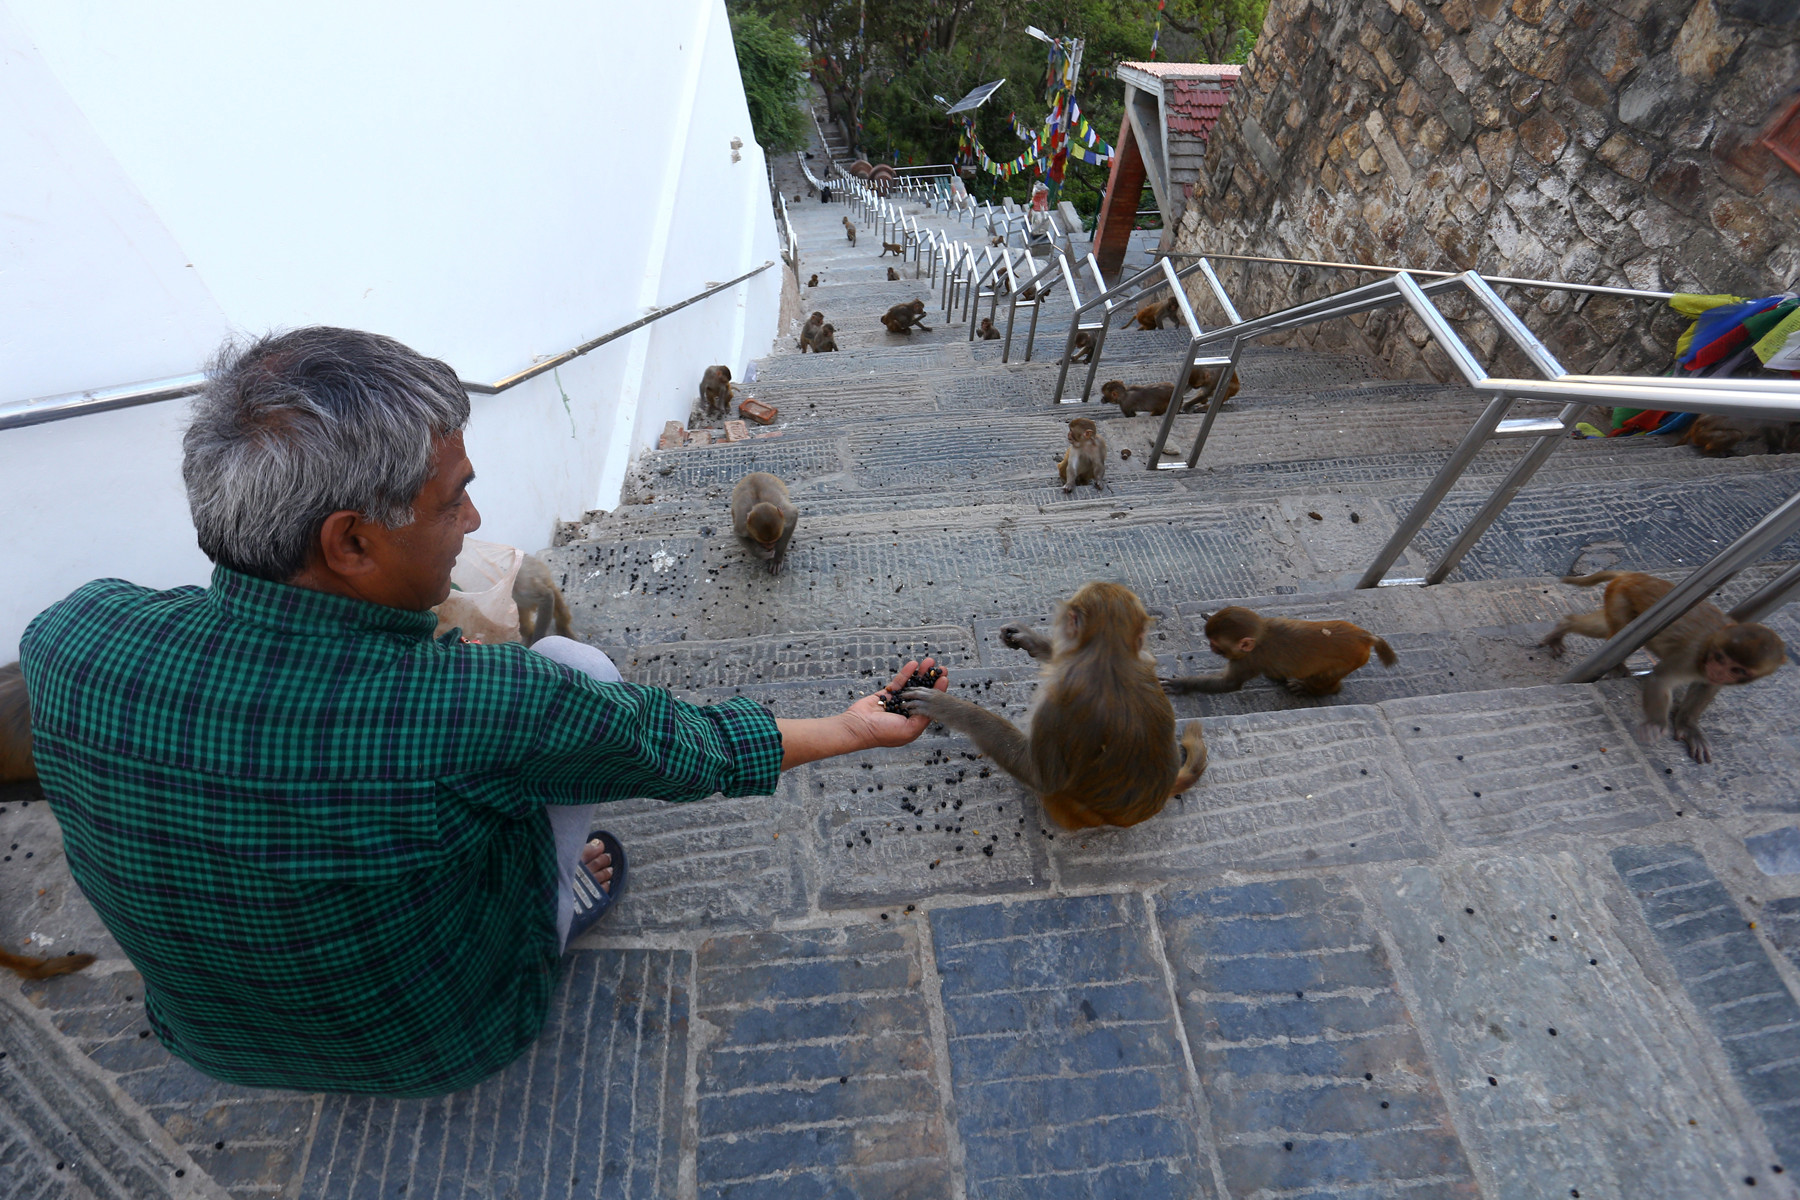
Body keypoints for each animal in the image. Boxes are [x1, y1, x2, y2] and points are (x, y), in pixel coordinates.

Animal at [900, 582, 1209, 831]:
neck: (1110, 655)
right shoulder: (1144, 661)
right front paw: (1029, 638)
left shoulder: (1057, 706)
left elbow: (1043, 777)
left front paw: (949, 707)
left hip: (1074, 811)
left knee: (1054, 791)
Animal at [1166, 604, 1404, 698]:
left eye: (1216, 645)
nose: (1210, 648)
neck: (1262, 635)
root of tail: (1364, 636)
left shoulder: (1248, 660)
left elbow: (1230, 684)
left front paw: (1183, 684)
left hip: (1351, 660)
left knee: (1326, 677)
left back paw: (1319, 690)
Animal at [1533, 572, 1785, 759]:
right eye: (1720, 658)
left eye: (1737, 669)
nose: (1717, 670)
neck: (1710, 648)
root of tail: (1633, 575)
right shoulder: (1689, 657)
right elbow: (1661, 679)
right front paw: (1656, 723)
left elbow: (1706, 686)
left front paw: (1688, 724)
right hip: (1621, 597)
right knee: (1619, 629)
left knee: (1603, 626)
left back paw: (1566, 624)